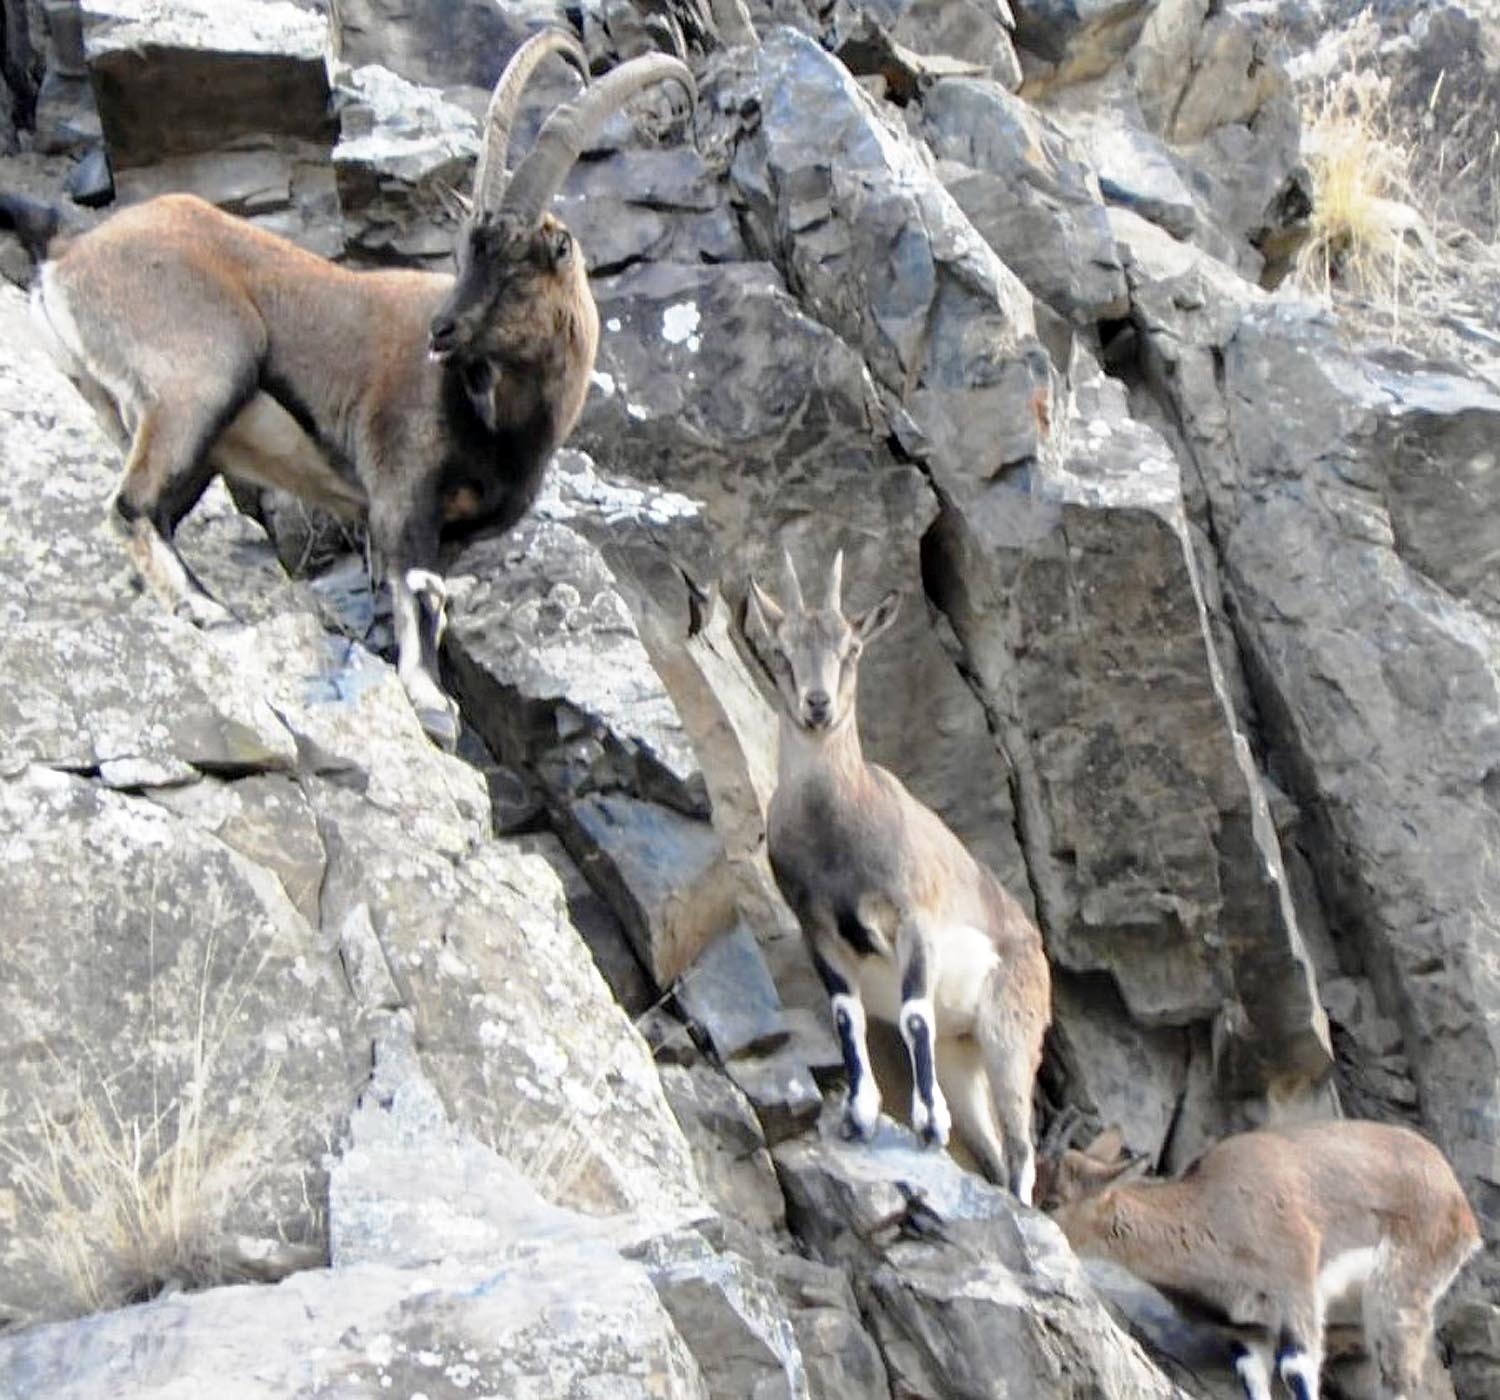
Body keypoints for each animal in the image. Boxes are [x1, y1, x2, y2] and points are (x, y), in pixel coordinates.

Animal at [0, 32, 690, 747]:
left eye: (518, 267)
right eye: (466, 254)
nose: (441, 331)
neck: (502, 422)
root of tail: (69, 253)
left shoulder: (453, 532)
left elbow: (433, 601)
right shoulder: (401, 496)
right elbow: (419, 595)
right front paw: (431, 703)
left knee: (151, 508)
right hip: (201, 381)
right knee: (131, 504)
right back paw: (206, 608)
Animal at [741, 549, 1050, 1200]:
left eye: (852, 648)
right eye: (781, 651)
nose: (817, 705)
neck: (840, 830)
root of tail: (1034, 946)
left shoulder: (914, 920)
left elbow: (912, 1014)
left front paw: (928, 1123)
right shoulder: (819, 930)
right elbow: (846, 1012)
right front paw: (859, 1113)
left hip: (1010, 1038)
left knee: (1021, 1152)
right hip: (964, 1058)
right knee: (992, 1151)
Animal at [1038, 1116, 1482, 1398]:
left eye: (1054, 1201)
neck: (1211, 1210)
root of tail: (1457, 1198)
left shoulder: (1296, 1288)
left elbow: (1297, 1371)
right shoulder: (1246, 1326)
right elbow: (1254, 1380)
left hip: (1398, 1291)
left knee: (1401, 1379)